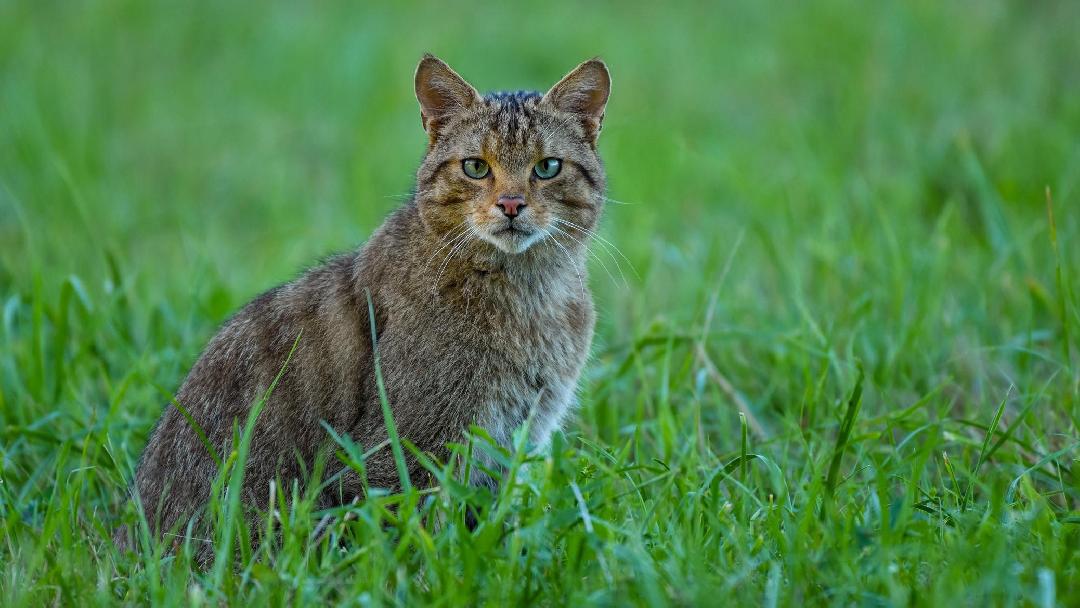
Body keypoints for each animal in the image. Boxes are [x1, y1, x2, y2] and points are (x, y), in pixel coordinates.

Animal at [119, 54, 613, 557]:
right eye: (476, 167)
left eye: (547, 167)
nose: (511, 203)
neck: (530, 291)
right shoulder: (404, 450)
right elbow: (409, 543)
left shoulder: (509, 443)